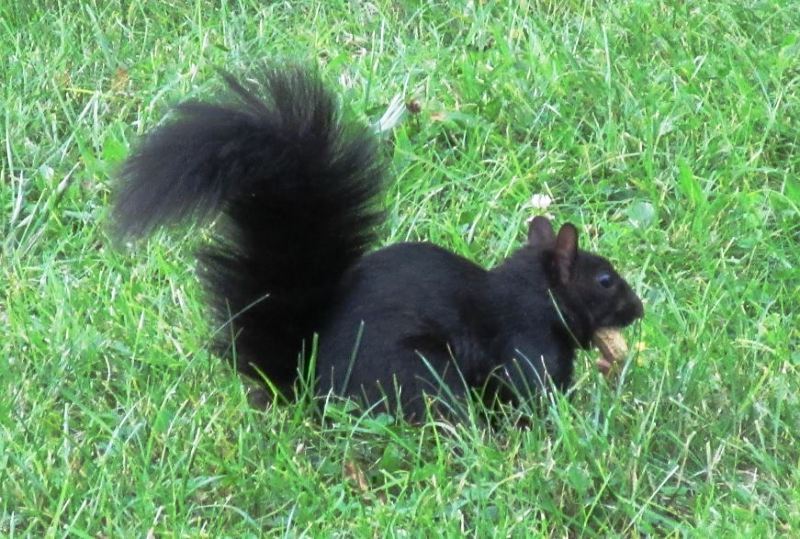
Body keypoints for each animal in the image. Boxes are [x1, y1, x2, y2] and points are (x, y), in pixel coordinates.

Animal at [113, 66, 644, 421]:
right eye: (604, 279)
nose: (638, 309)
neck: (533, 296)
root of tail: (310, 388)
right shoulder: (525, 347)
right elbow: (532, 393)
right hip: (420, 372)